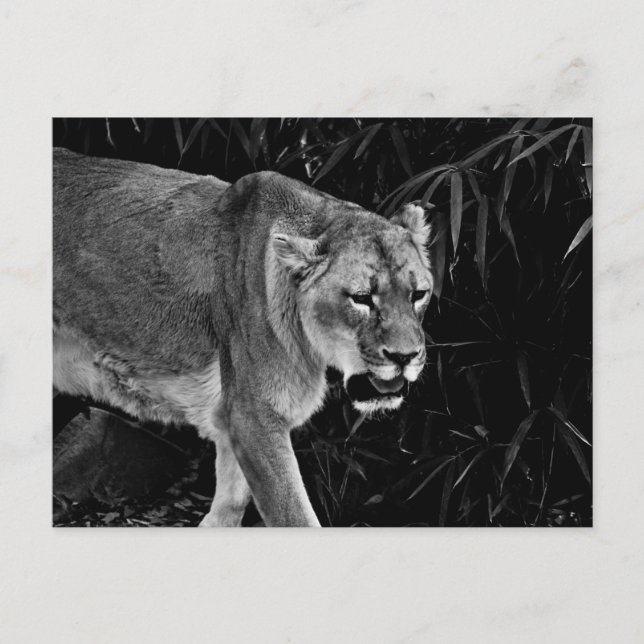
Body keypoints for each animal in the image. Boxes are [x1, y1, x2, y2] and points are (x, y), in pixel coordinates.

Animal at [53, 147, 434, 527]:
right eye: (362, 298)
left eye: (419, 294)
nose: (405, 357)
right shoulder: (253, 415)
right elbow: (294, 515)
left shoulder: (231, 420)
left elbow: (231, 504)